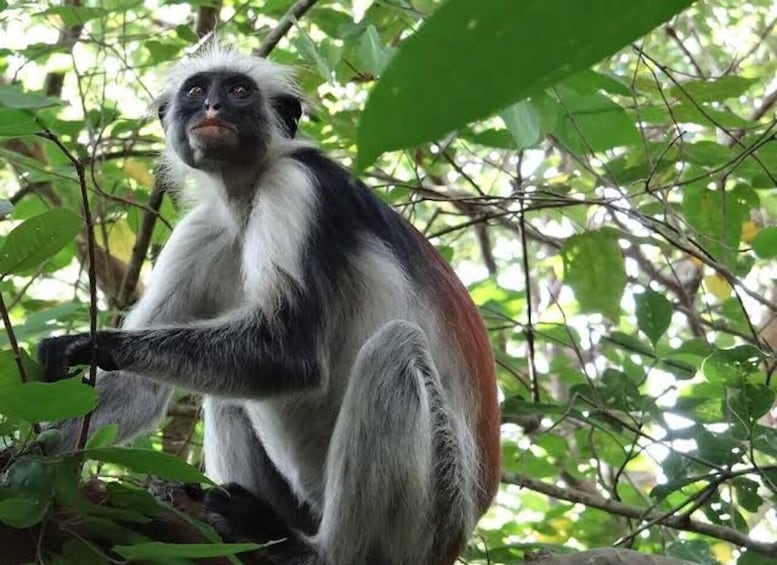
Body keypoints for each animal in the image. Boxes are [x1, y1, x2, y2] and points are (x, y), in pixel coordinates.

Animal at [37, 45, 500, 565]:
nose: (212, 108)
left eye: (239, 91)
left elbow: (290, 350)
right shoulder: (203, 229)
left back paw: (320, 551)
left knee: (394, 346)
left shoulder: (295, 184)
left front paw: (92, 345)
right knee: (229, 392)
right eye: (196, 91)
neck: (246, 195)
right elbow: (141, 387)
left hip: (439, 507)